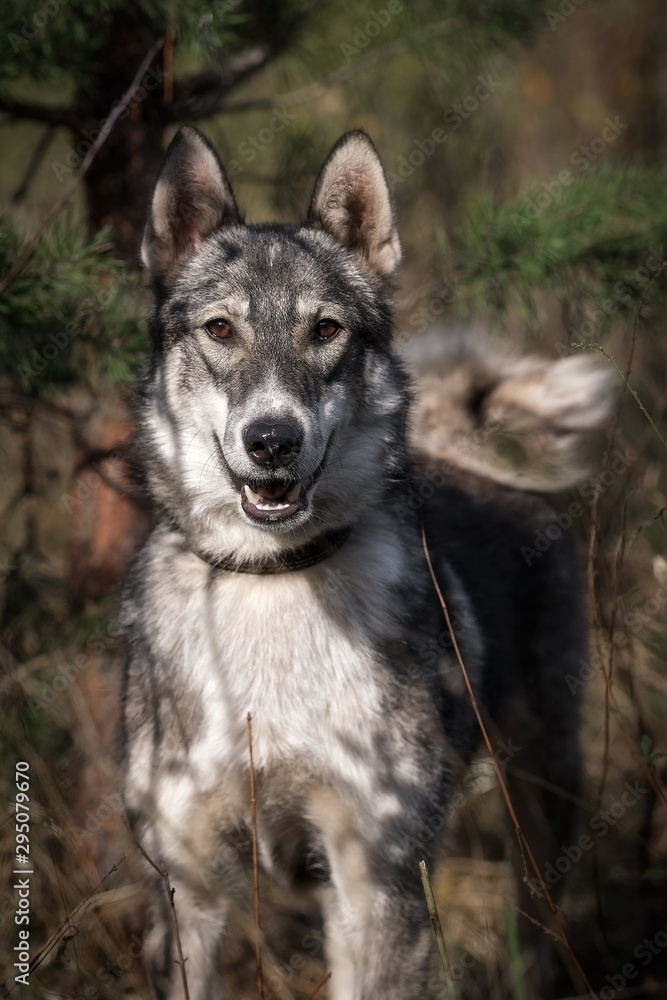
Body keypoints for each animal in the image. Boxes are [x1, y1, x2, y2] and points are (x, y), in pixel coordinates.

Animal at [122, 129, 612, 1000]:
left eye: (325, 330)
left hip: (543, 785)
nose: (271, 440)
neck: (274, 580)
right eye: (219, 330)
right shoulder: (184, 891)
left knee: (538, 919)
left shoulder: (378, 877)